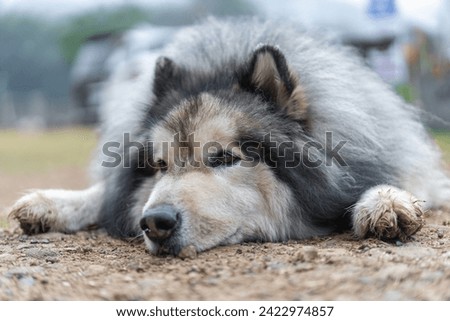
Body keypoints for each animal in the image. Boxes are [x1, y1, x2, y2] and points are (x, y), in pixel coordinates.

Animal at [7, 17, 450, 256]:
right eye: (160, 165)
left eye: (224, 158)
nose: (155, 222)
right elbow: (105, 193)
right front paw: (53, 203)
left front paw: (385, 200)